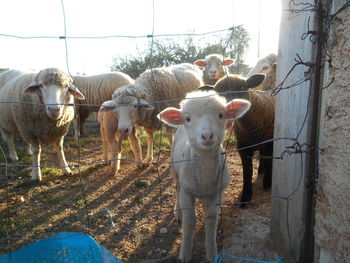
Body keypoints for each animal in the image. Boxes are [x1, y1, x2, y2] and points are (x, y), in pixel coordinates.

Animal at [159, 89, 252, 262]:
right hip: (176, 171)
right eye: (188, 118)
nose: (207, 136)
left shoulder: (218, 192)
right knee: (177, 188)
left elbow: (211, 221)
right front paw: (185, 253)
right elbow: (190, 222)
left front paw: (211, 252)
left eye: (221, 115)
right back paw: (178, 213)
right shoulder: (187, 192)